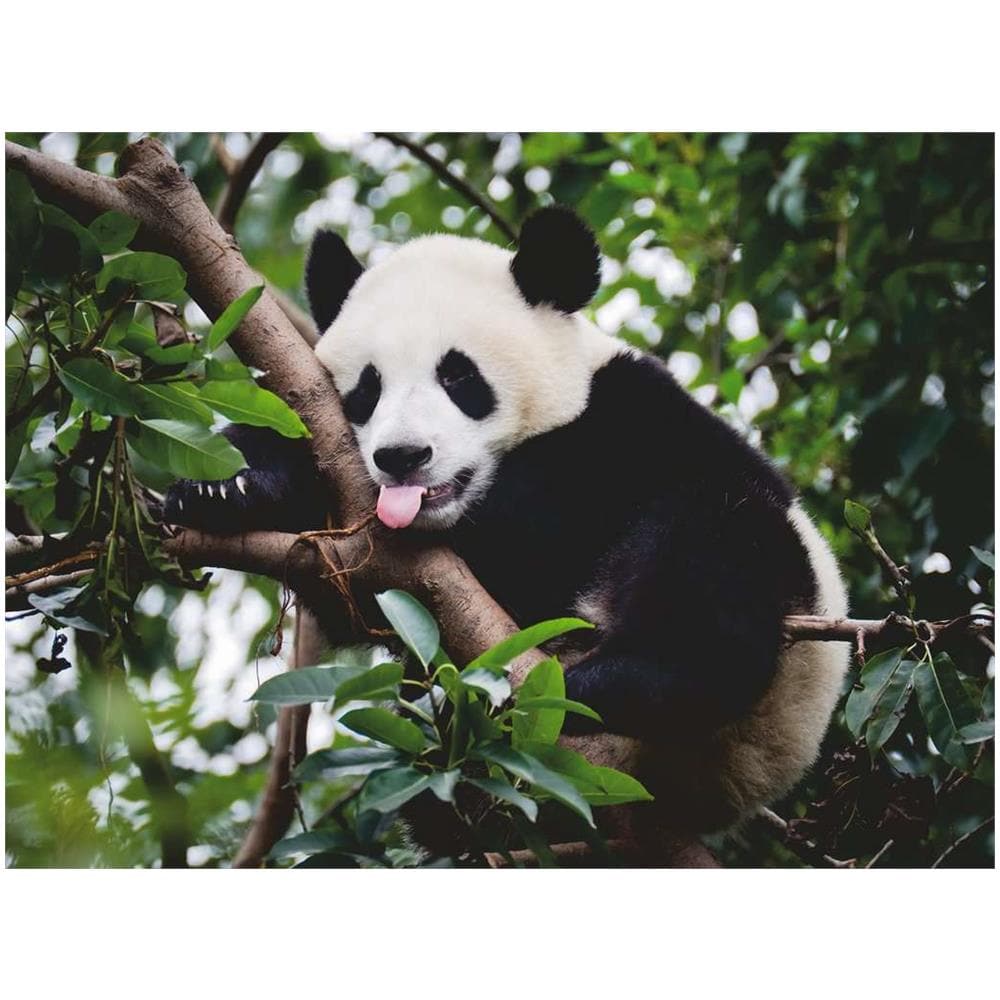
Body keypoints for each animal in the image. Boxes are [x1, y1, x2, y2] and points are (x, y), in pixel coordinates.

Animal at [164, 206, 849, 836]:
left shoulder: (627, 427)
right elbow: (348, 591)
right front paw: (223, 485)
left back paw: (608, 682)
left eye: (459, 376)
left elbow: (535, 530)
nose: (403, 457)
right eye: (367, 388)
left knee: (711, 562)